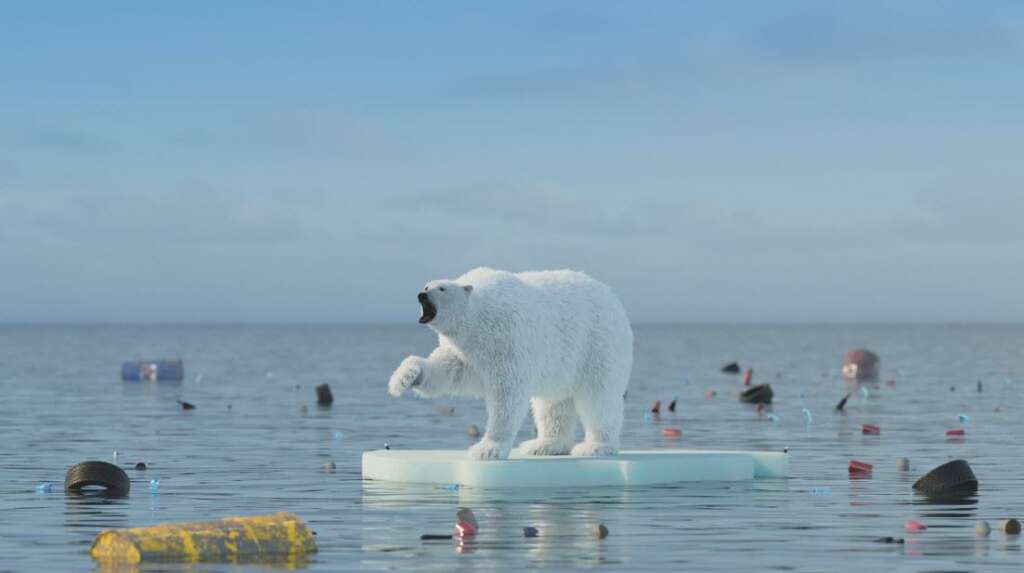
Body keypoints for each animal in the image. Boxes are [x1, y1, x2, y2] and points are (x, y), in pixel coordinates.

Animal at [385, 268, 630, 460]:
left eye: (442, 289)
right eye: (427, 285)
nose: (421, 294)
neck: (479, 313)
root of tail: (614, 299)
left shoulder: (506, 338)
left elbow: (506, 395)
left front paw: (487, 449)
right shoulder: (467, 349)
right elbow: (450, 371)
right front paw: (403, 378)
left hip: (597, 345)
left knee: (598, 398)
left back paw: (595, 446)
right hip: (563, 364)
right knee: (553, 404)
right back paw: (544, 445)